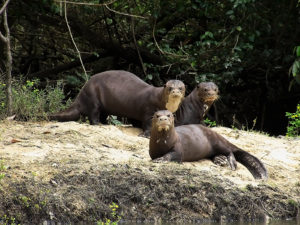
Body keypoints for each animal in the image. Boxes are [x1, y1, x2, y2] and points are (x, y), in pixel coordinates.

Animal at [49, 70, 185, 134]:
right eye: (170, 88)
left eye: (181, 88)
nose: (175, 92)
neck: (158, 98)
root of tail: (81, 94)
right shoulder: (149, 109)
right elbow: (147, 123)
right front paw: (146, 134)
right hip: (93, 97)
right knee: (93, 114)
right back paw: (99, 124)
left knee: (102, 115)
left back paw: (105, 124)